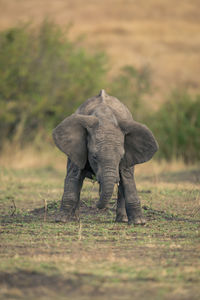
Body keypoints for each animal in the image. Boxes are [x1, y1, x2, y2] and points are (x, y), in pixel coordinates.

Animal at [52, 89, 159, 225]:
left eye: (121, 157)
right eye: (94, 157)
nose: (96, 205)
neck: (105, 117)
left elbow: (127, 179)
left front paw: (139, 223)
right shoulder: (76, 149)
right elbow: (74, 176)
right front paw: (61, 220)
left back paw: (122, 220)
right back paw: (75, 219)